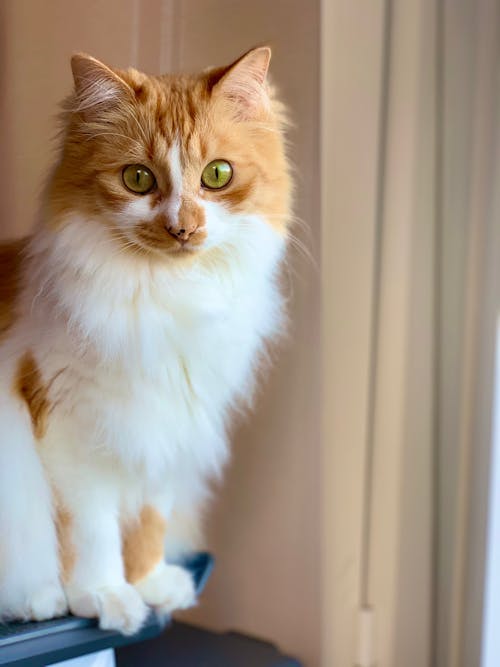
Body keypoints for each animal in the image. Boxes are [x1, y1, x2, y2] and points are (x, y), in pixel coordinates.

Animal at [0, 47, 292, 636]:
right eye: (137, 179)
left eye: (217, 175)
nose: (183, 226)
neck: (168, 298)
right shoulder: (68, 428)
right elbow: (92, 531)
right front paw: (104, 595)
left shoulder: (166, 426)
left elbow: (148, 521)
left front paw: (150, 583)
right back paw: (38, 601)